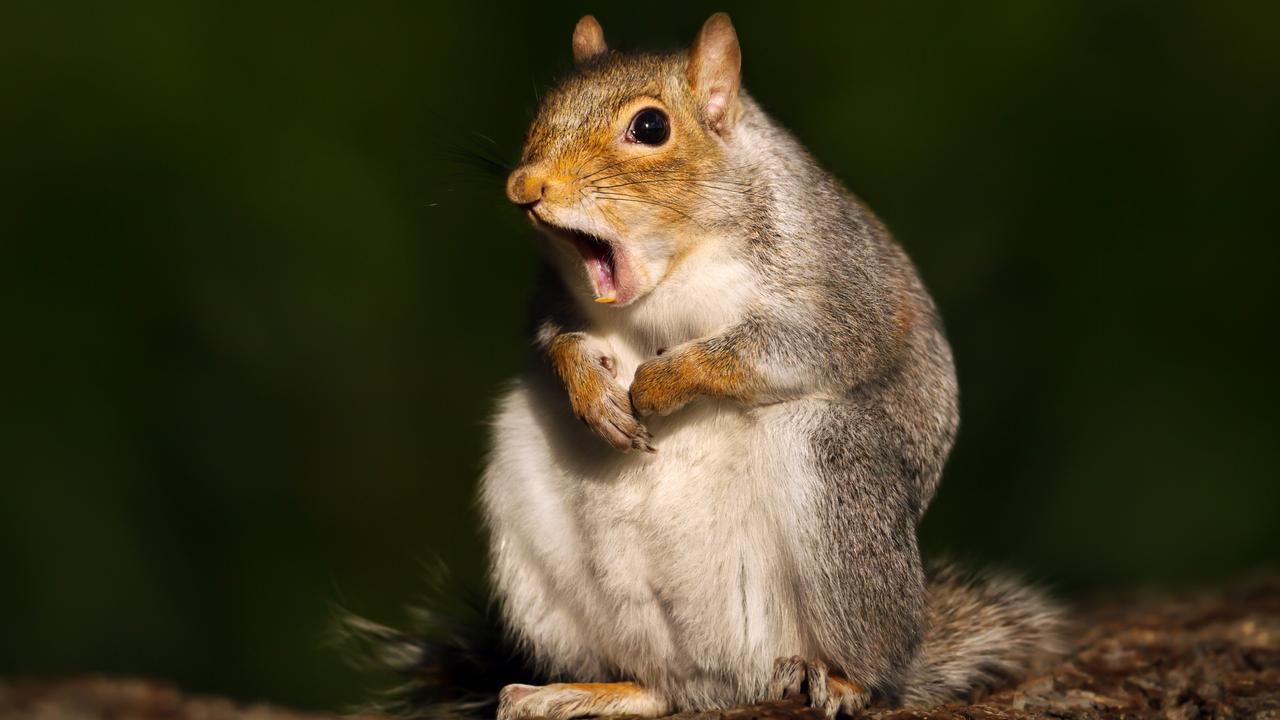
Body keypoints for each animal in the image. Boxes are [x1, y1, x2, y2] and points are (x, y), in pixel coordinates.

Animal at [363, 11, 1059, 717]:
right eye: (543, 107)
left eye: (650, 127)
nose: (524, 186)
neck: (671, 271)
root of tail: (727, 676)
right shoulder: (553, 297)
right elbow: (555, 340)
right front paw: (593, 392)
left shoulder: (840, 290)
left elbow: (787, 347)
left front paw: (660, 384)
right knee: (659, 689)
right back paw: (588, 690)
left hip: (835, 478)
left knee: (875, 663)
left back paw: (841, 679)